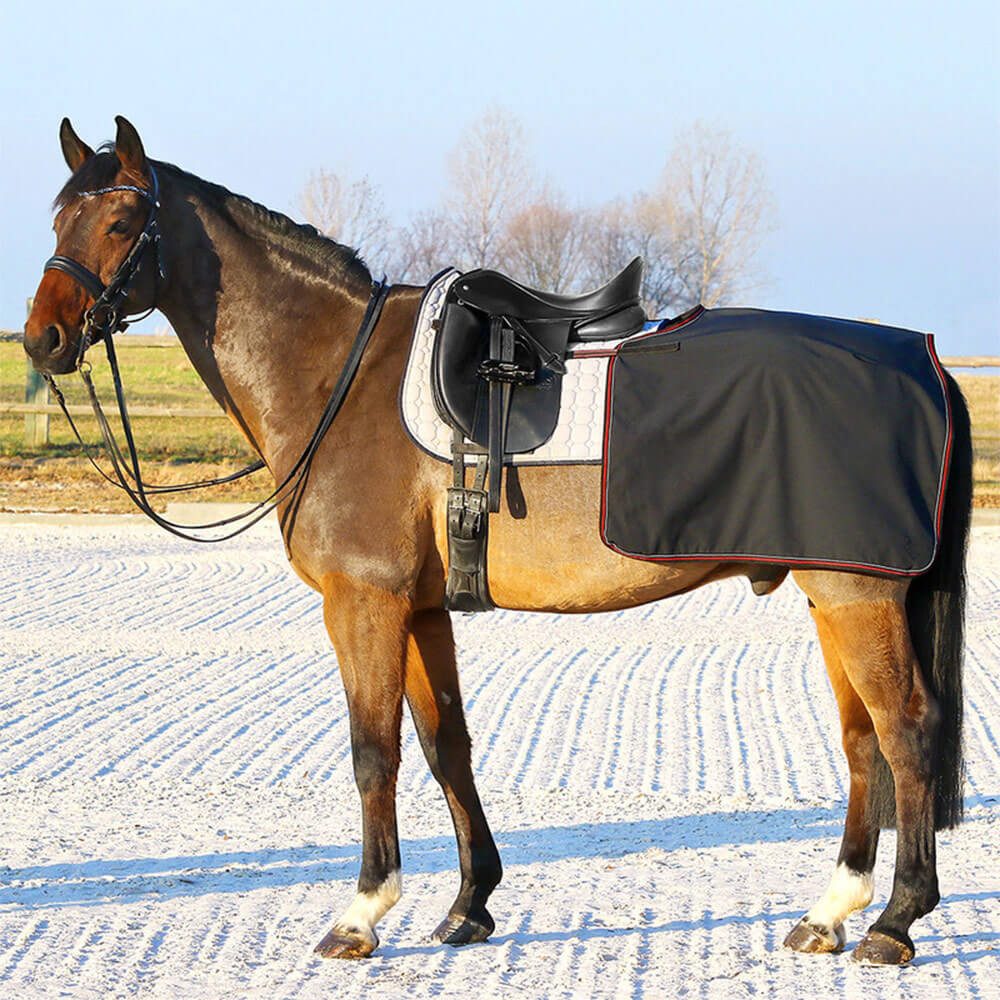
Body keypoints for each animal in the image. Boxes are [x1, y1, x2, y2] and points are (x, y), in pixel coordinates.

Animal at [23, 117, 972, 966]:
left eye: (120, 221)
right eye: (58, 218)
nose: (43, 339)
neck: (337, 373)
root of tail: (923, 361)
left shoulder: (364, 602)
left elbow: (373, 751)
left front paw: (362, 914)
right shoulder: (421, 609)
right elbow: (446, 744)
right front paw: (470, 903)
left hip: (857, 595)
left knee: (907, 730)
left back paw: (895, 922)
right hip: (834, 593)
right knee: (862, 742)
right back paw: (830, 912)